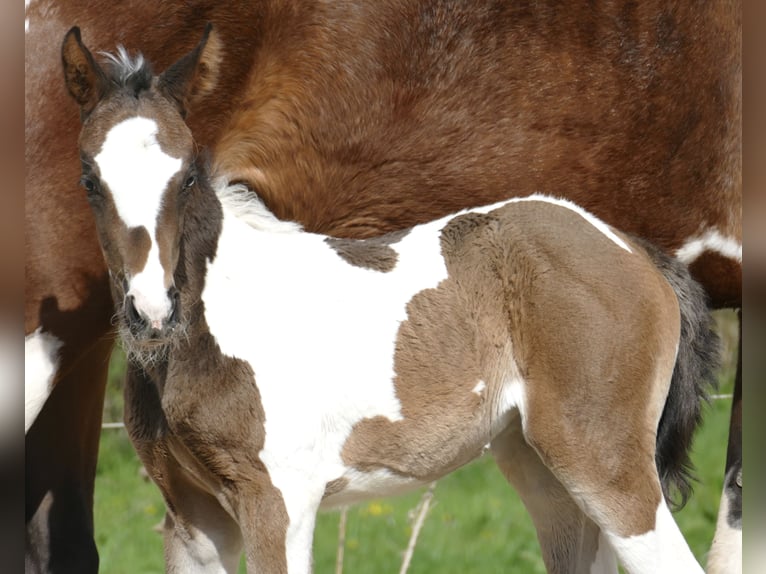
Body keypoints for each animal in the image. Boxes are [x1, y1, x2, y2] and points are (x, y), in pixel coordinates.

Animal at [61, 24, 720, 572]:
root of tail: (635, 250)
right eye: (90, 180)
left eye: (187, 177)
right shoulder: (193, 517)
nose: (152, 311)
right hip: (543, 472)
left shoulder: (278, 499)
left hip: (604, 464)